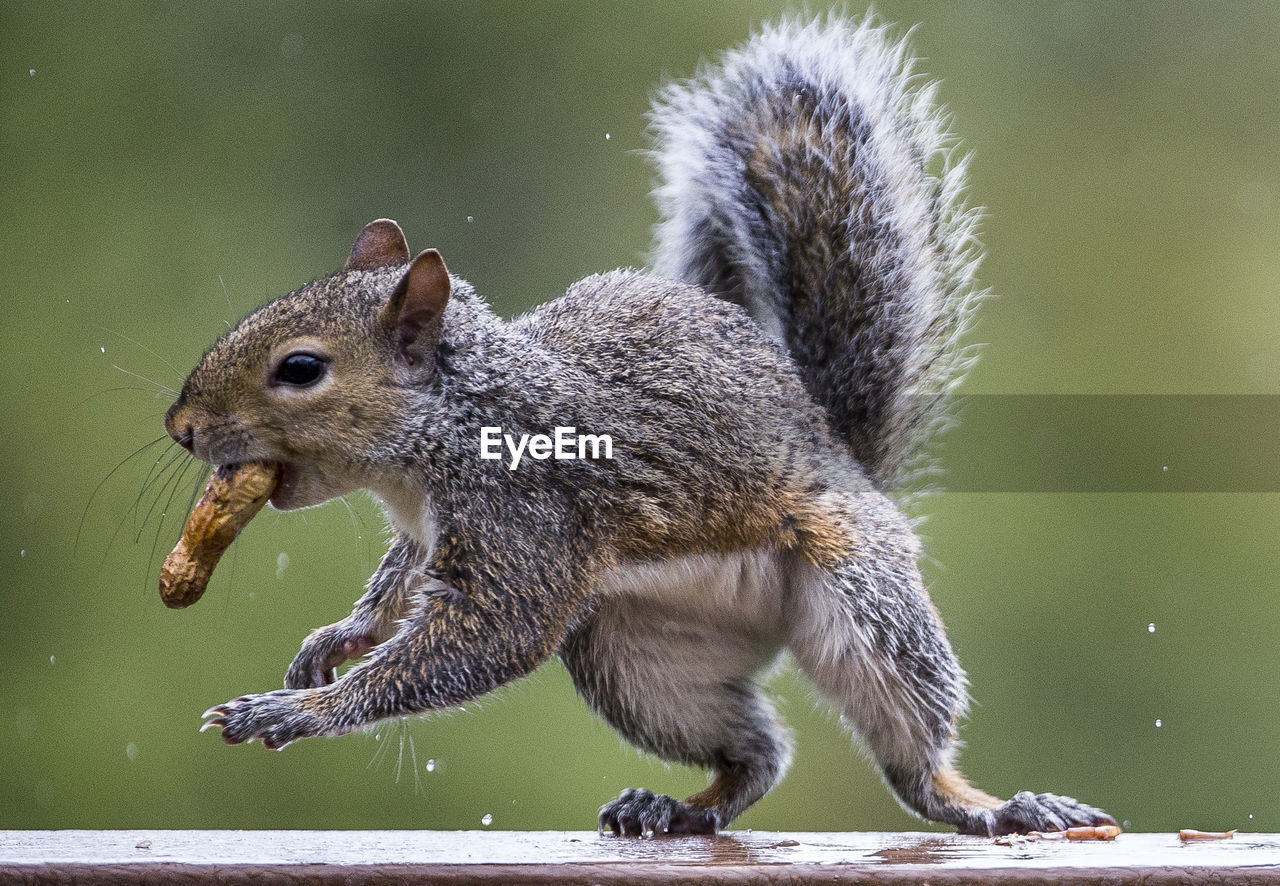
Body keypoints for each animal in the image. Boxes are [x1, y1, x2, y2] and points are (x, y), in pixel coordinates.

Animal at [167, 15, 1111, 839]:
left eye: (300, 369)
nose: (180, 427)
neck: (441, 437)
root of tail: (845, 455)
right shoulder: (430, 534)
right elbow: (396, 584)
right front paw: (337, 639)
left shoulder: (525, 523)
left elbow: (486, 638)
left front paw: (297, 709)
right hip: (639, 656)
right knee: (757, 753)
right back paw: (676, 807)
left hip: (862, 596)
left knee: (911, 751)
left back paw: (994, 807)